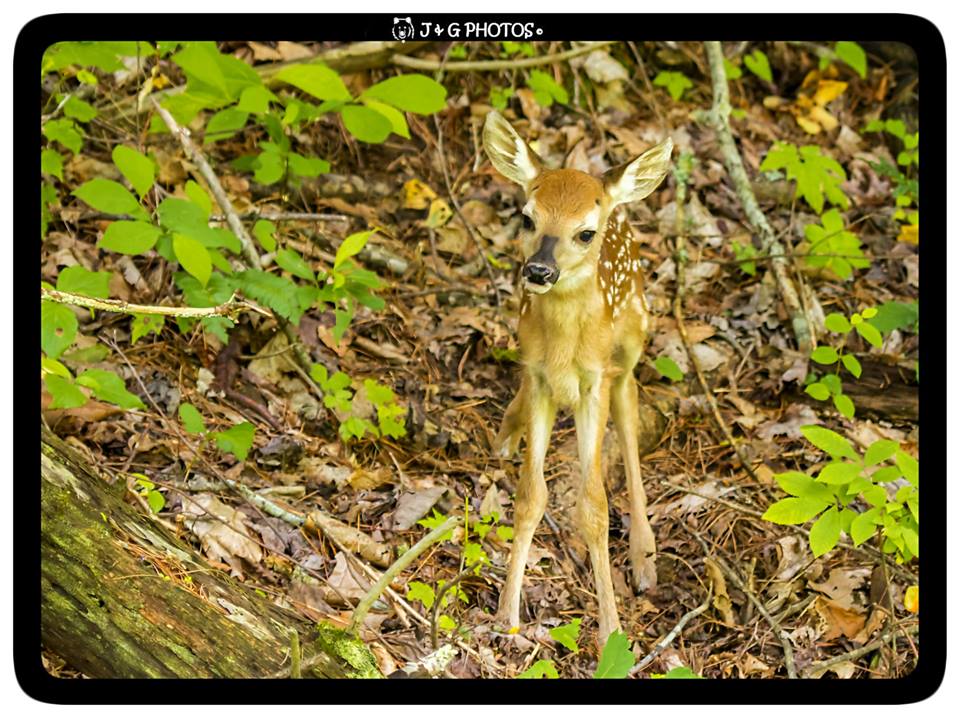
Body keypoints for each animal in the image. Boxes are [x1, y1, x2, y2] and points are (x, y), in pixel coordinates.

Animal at [482, 110, 673, 644]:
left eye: (585, 232)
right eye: (527, 217)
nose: (539, 271)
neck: (566, 347)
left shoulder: (595, 382)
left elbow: (594, 506)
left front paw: (611, 629)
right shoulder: (540, 375)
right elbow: (530, 496)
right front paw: (506, 615)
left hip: (631, 341)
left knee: (630, 415)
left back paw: (644, 555)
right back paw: (507, 434)